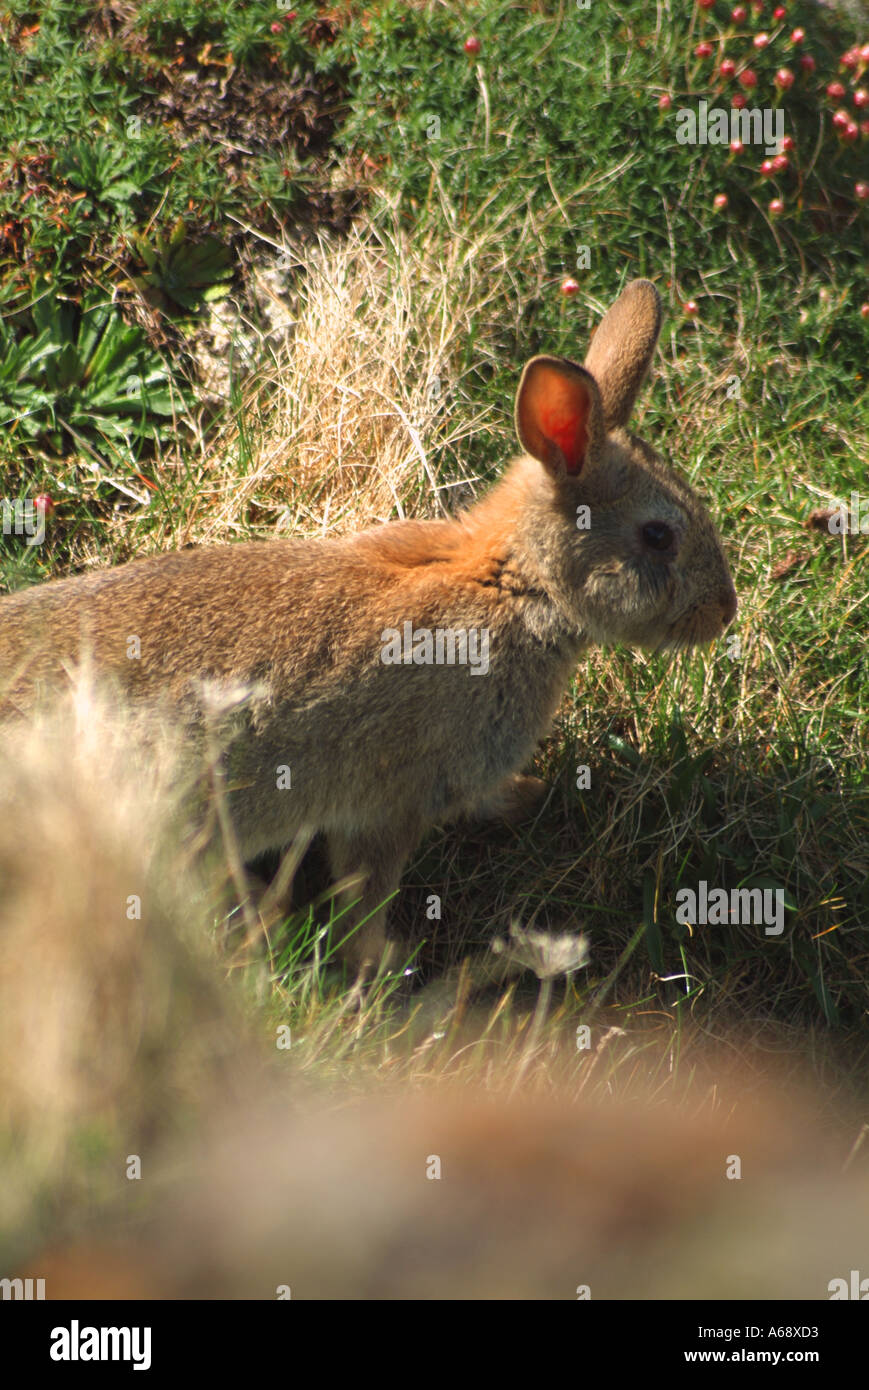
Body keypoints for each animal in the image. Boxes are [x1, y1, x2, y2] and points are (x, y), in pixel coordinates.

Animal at [0, 279, 737, 974]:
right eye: (658, 536)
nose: (723, 612)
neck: (513, 587)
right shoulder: (389, 803)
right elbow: (365, 892)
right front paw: (385, 964)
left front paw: (523, 794)